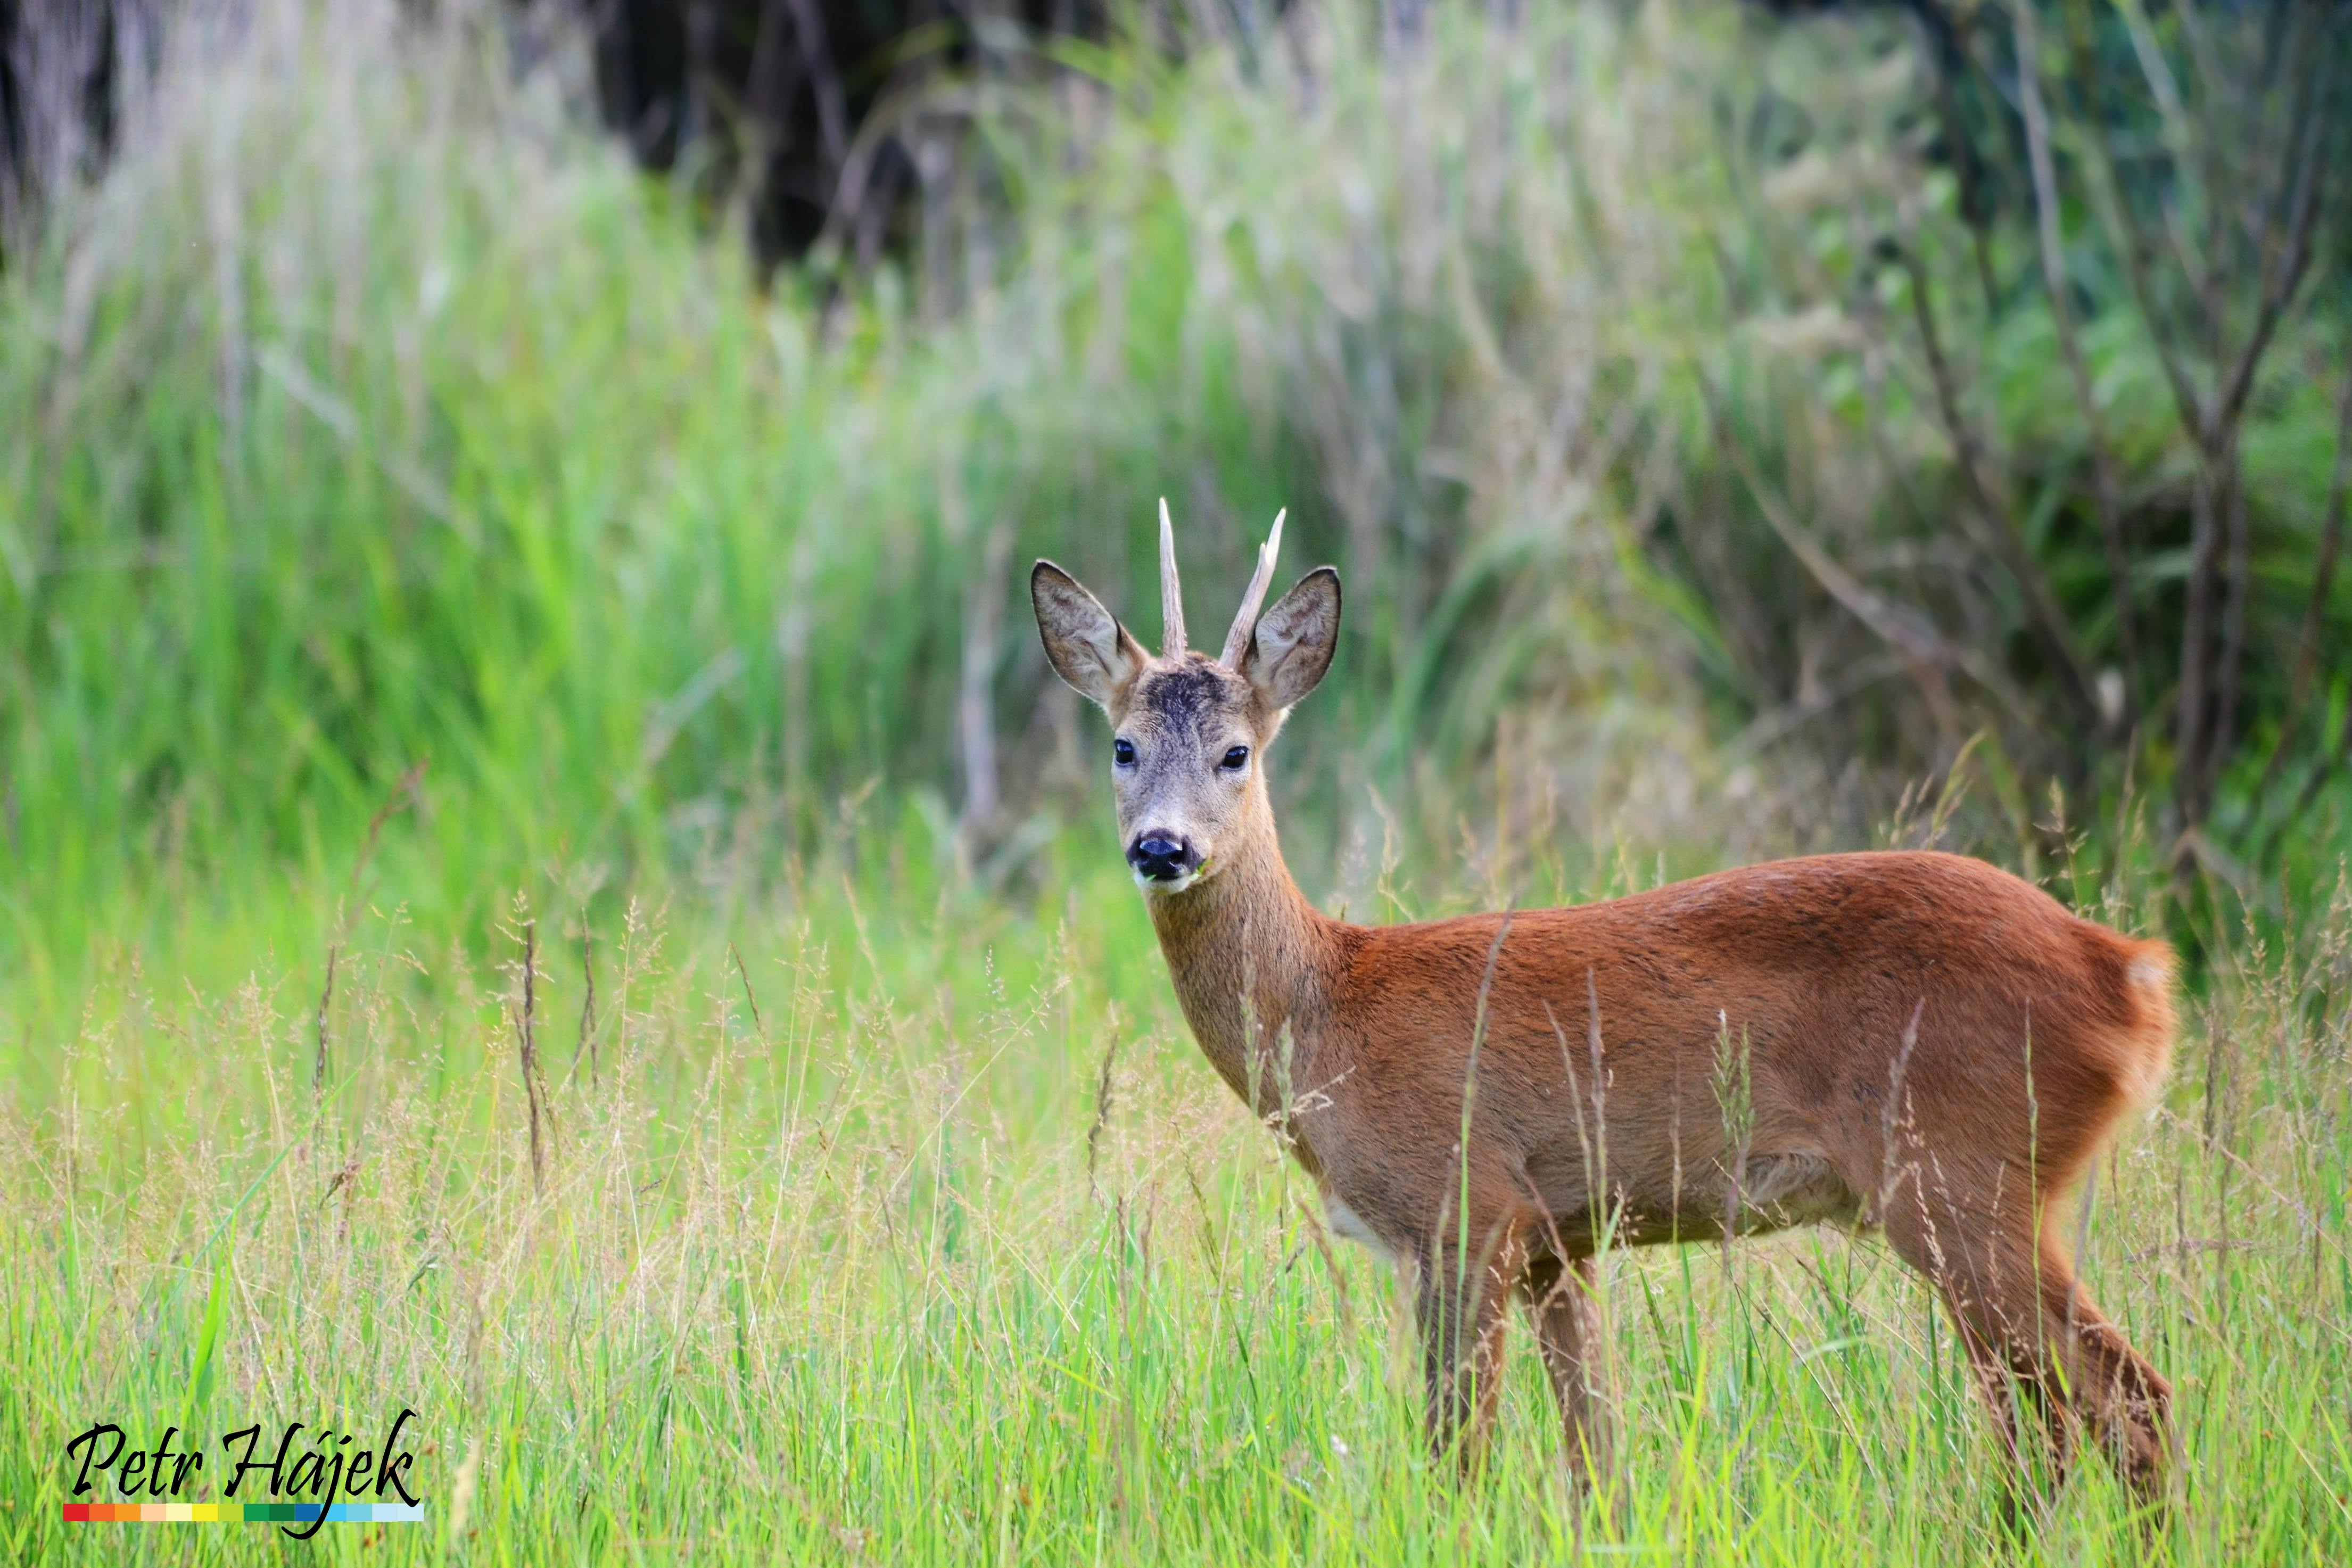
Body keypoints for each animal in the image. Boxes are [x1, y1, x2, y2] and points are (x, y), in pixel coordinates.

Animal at [1039, 510, 2173, 1504]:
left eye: (1236, 752)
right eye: (1122, 748)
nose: (1161, 847)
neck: (1329, 1011)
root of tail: (2128, 974)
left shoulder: (1464, 1208)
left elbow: (1457, 1459)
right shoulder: (1559, 1239)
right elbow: (1595, 1459)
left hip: (1960, 1174)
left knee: (2115, 1400)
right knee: (2056, 1415)